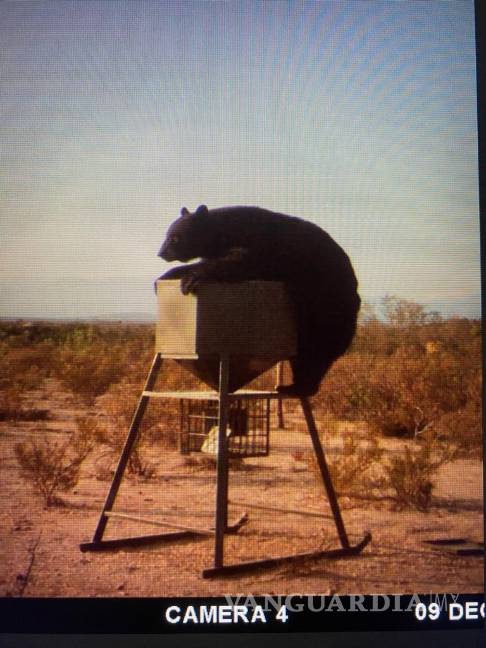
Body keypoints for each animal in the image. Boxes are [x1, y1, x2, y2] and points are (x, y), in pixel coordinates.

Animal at [156, 204, 360, 397]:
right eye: (167, 234)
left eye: (175, 237)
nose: (161, 253)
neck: (223, 232)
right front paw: (165, 277)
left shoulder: (257, 244)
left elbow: (240, 262)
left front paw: (191, 280)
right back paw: (292, 387)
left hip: (326, 307)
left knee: (315, 353)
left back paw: (296, 388)